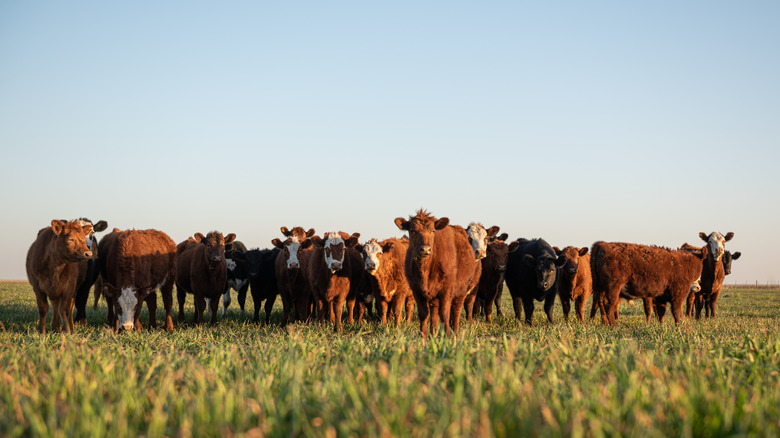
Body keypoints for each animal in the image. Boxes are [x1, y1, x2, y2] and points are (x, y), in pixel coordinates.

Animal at [394, 209, 481, 339]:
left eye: (433, 231)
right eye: (412, 230)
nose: (425, 249)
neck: (425, 269)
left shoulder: (447, 289)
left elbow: (445, 313)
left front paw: (448, 335)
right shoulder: (416, 290)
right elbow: (423, 313)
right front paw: (423, 335)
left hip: (461, 290)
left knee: (456, 310)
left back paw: (455, 332)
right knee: (434, 312)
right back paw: (433, 333)